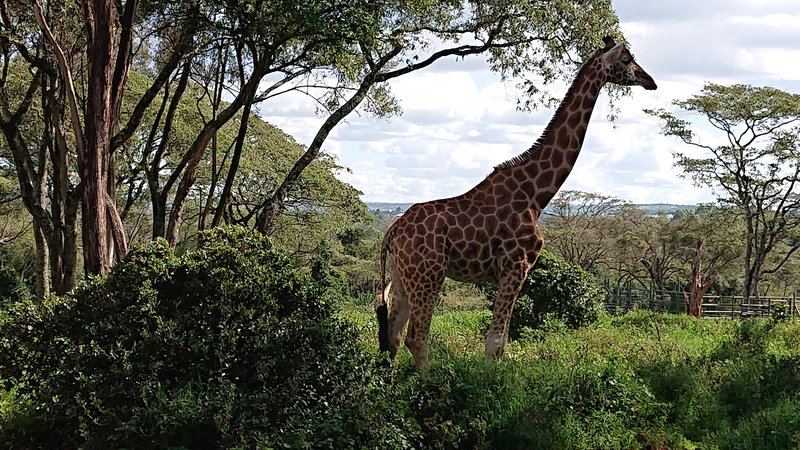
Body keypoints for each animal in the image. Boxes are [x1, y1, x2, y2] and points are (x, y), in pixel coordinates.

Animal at [376, 37, 656, 370]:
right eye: (627, 59)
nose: (650, 81)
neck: (536, 194)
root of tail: (392, 232)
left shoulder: (512, 271)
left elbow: (503, 341)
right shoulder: (516, 266)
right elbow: (496, 342)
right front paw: (490, 382)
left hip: (401, 275)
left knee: (392, 336)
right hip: (428, 273)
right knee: (415, 337)